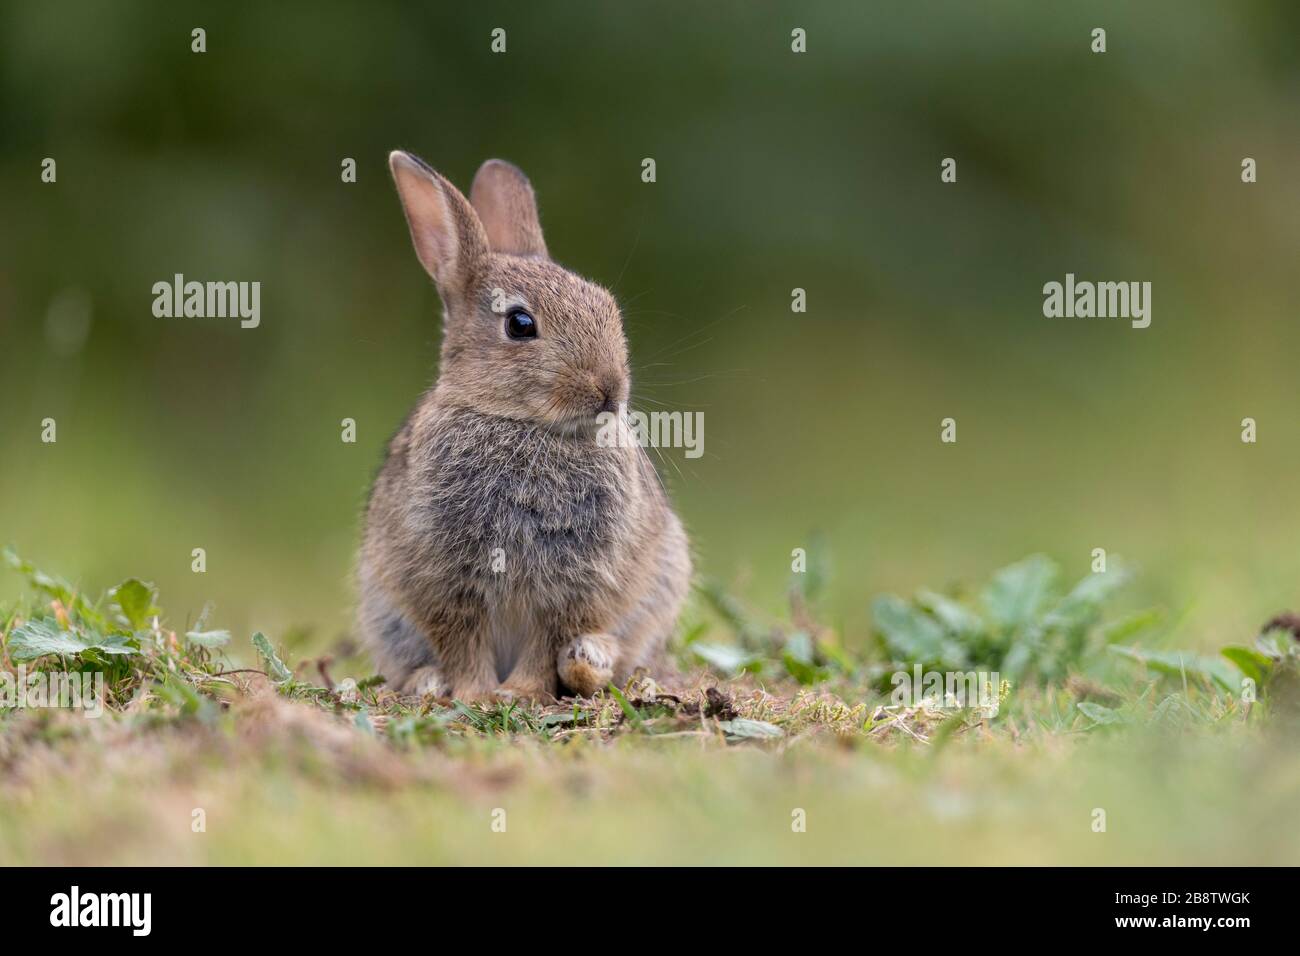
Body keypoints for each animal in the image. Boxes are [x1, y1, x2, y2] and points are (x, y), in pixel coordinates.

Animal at [358, 150, 692, 702]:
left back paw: (588, 661)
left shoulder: (574, 581)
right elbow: (462, 639)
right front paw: (475, 694)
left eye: (607, 306)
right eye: (519, 324)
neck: (523, 424)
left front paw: (519, 693)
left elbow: (546, 638)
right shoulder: (444, 575)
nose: (610, 389)